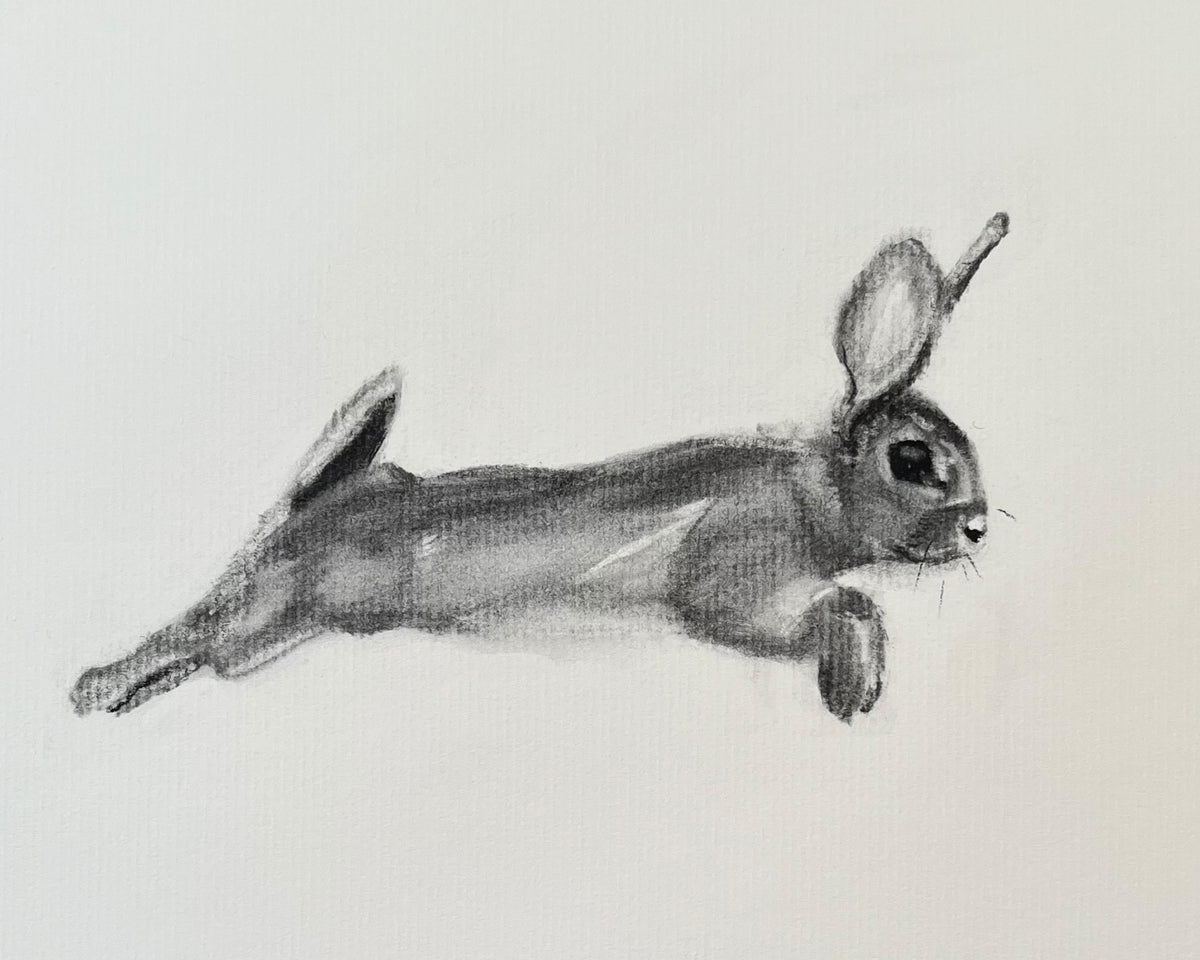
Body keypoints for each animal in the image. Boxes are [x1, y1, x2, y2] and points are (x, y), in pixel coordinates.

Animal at [71, 213, 1009, 722]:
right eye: (912, 458)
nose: (977, 525)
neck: (812, 491)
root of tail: (309, 509)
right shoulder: (734, 586)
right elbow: (838, 605)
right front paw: (854, 688)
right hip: (269, 609)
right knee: (198, 629)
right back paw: (96, 687)